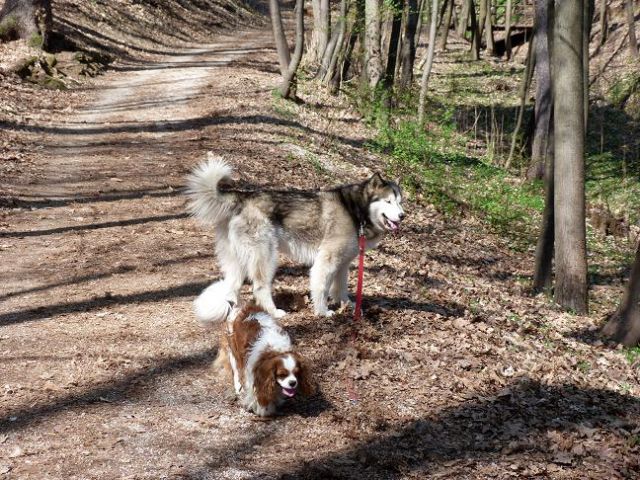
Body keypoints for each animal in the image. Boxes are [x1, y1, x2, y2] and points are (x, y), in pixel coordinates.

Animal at [186, 155, 404, 318]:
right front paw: (323, 312)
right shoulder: (327, 261)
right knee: (259, 288)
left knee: (232, 288)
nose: (403, 216)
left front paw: (349, 306)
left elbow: (340, 288)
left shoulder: (342, 264)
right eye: (388, 202)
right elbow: (322, 287)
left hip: (236, 261)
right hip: (266, 257)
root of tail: (241, 197)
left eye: (400, 202)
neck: (355, 210)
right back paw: (274, 312)